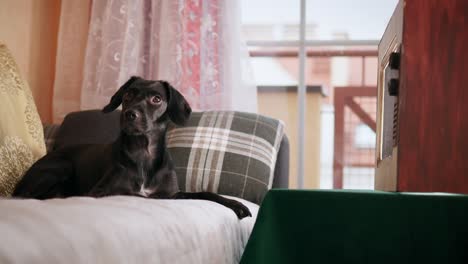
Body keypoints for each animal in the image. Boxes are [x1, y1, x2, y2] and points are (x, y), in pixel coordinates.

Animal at [11, 76, 252, 219]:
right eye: (128, 95)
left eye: (156, 99)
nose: (129, 114)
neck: (143, 151)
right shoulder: (100, 192)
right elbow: (138, 195)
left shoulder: (172, 192)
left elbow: (203, 192)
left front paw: (234, 204)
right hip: (61, 166)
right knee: (31, 195)